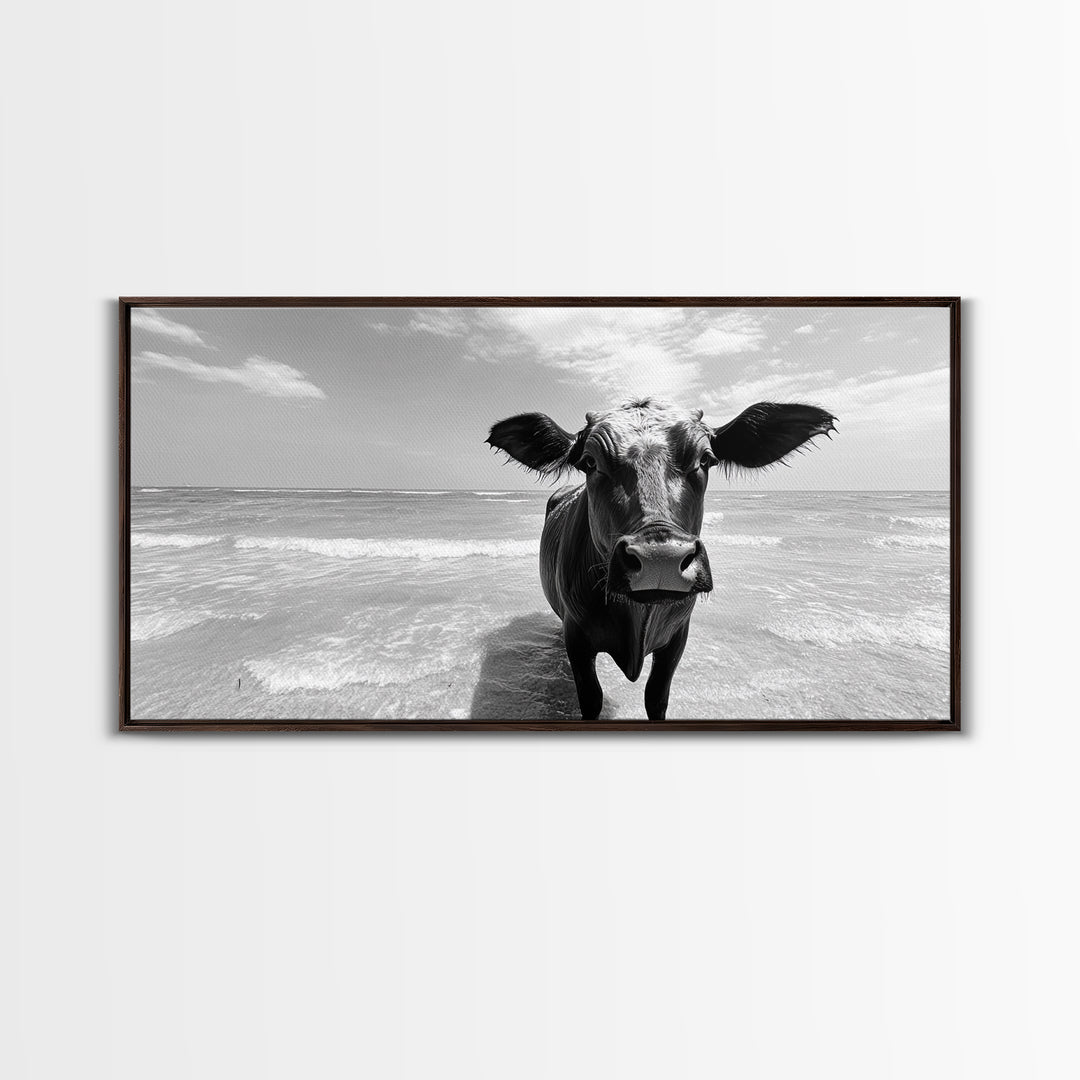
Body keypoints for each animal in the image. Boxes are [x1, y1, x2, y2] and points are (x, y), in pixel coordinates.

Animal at [486, 398, 837, 720]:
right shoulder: (578, 638)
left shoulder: (676, 639)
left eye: (705, 459)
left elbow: (656, 698)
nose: (660, 558)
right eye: (589, 461)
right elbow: (591, 699)